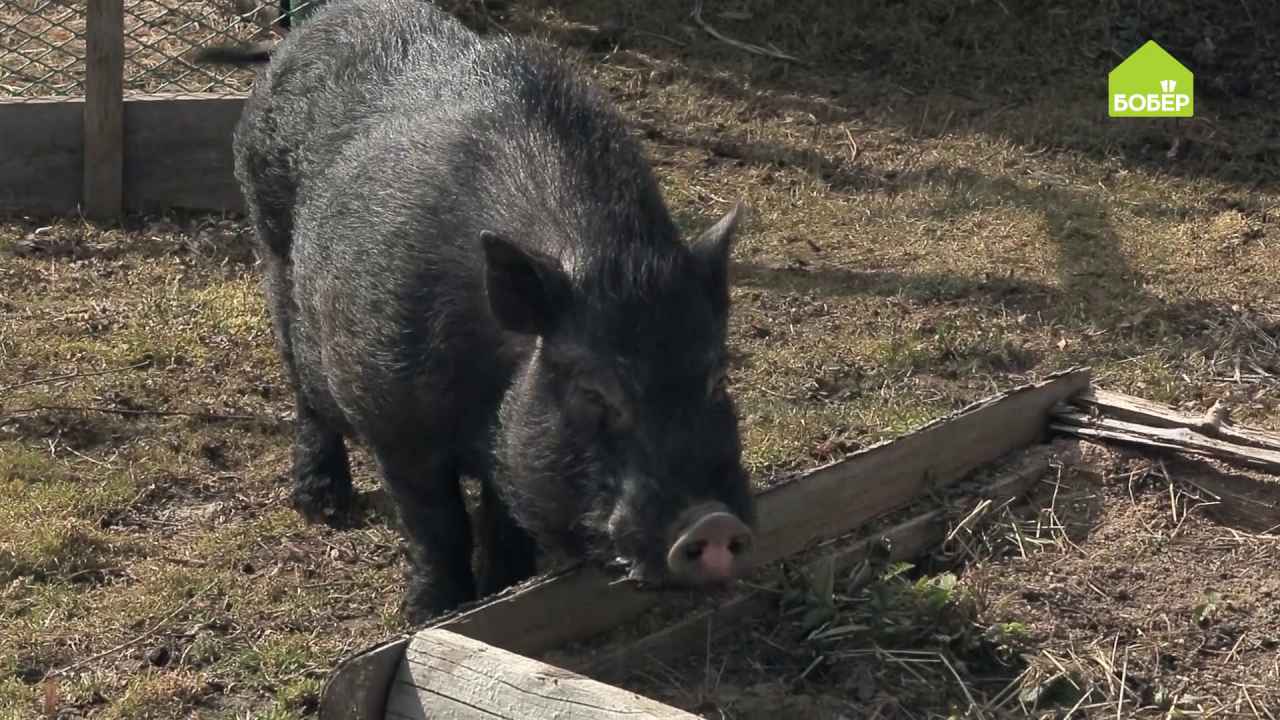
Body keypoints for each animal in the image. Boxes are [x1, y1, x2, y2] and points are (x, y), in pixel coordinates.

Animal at [195, 0, 752, 620]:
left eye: (716, 379)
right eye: (594, 391)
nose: (713, 521)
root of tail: (304, 29)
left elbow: (503, 515)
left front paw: (505, 587)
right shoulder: (394, 418)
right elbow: (437, 524)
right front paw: (431, 613)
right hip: (270, 243)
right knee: (303, 384)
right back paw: (323, 506)